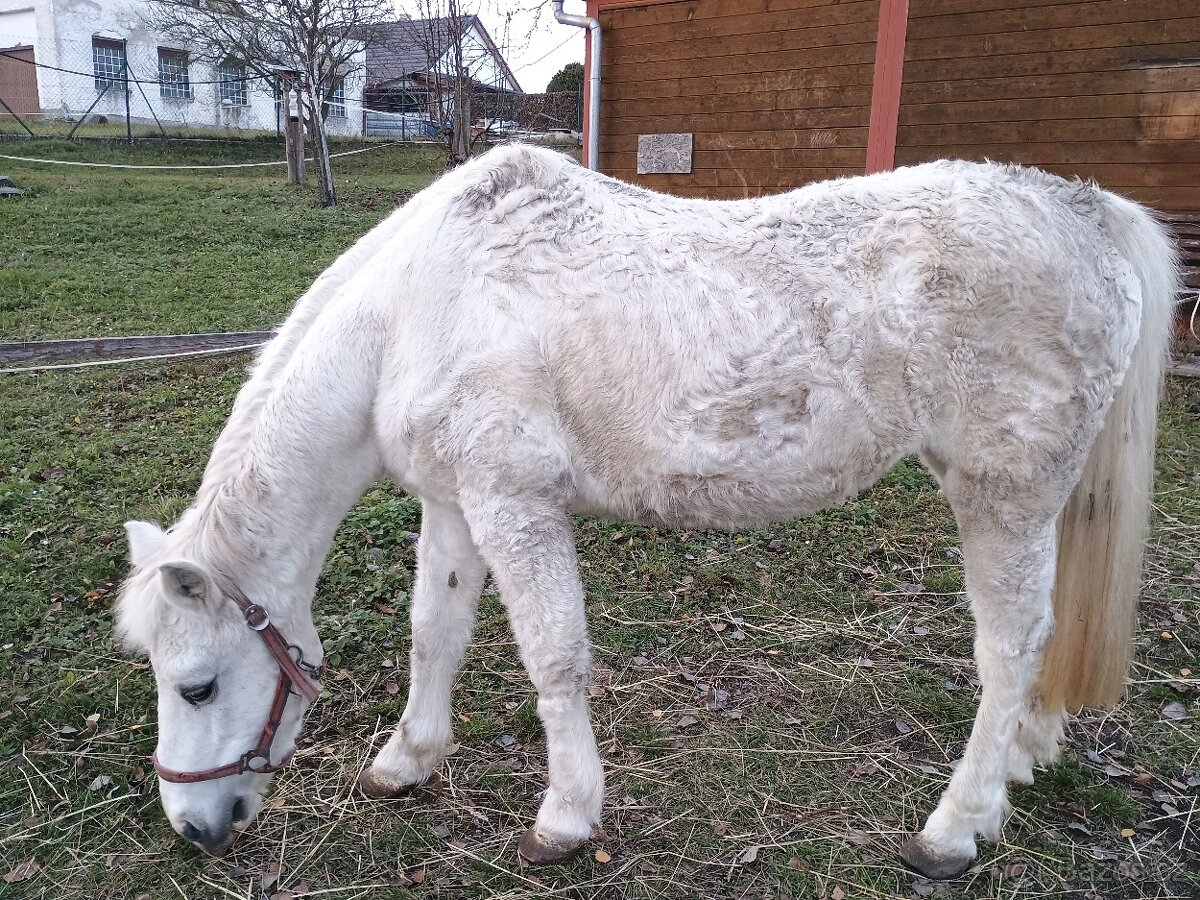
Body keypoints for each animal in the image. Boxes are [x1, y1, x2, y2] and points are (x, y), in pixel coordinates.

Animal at [115, 145, 1177, 879]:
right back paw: (1021, 768)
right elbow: (434, 633)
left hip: (1003, 494)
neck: (417, 308)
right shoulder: (455, 506)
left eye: (197, 686)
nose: (193, 830)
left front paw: (564, 818)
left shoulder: (515, 505)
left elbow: (554, 659)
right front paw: (407, 759)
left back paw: (954, 829)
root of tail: (1087, 211)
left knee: (1010, 650)